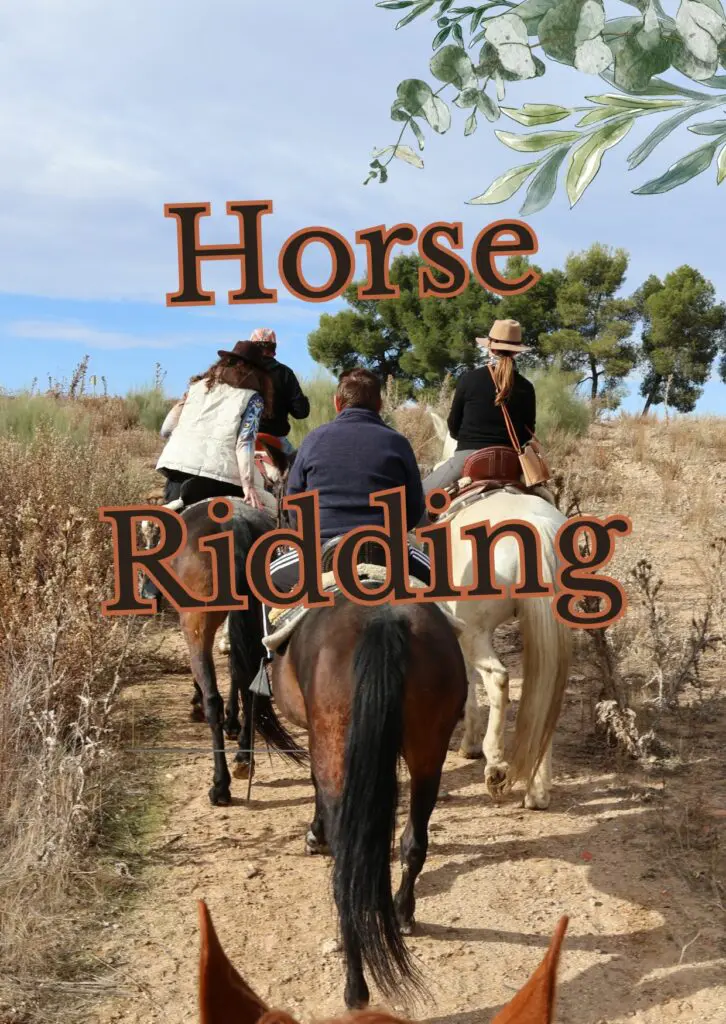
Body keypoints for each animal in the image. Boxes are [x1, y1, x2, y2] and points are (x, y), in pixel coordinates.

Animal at [227, 574, 469, 1010]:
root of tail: (384, 622)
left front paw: (315, 834)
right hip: (429, 752)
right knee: (413, 842)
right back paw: (403, 914)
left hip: (338, 749)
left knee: (346, 874)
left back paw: (355, 987)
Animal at [426, 410, 572, 811]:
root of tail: (536, 528)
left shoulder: (460, 627)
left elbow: (469, 680)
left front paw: (471, 744)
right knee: (546, 695)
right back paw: (537, 791)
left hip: (475, 632)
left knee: (498, 678)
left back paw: (496, 764)